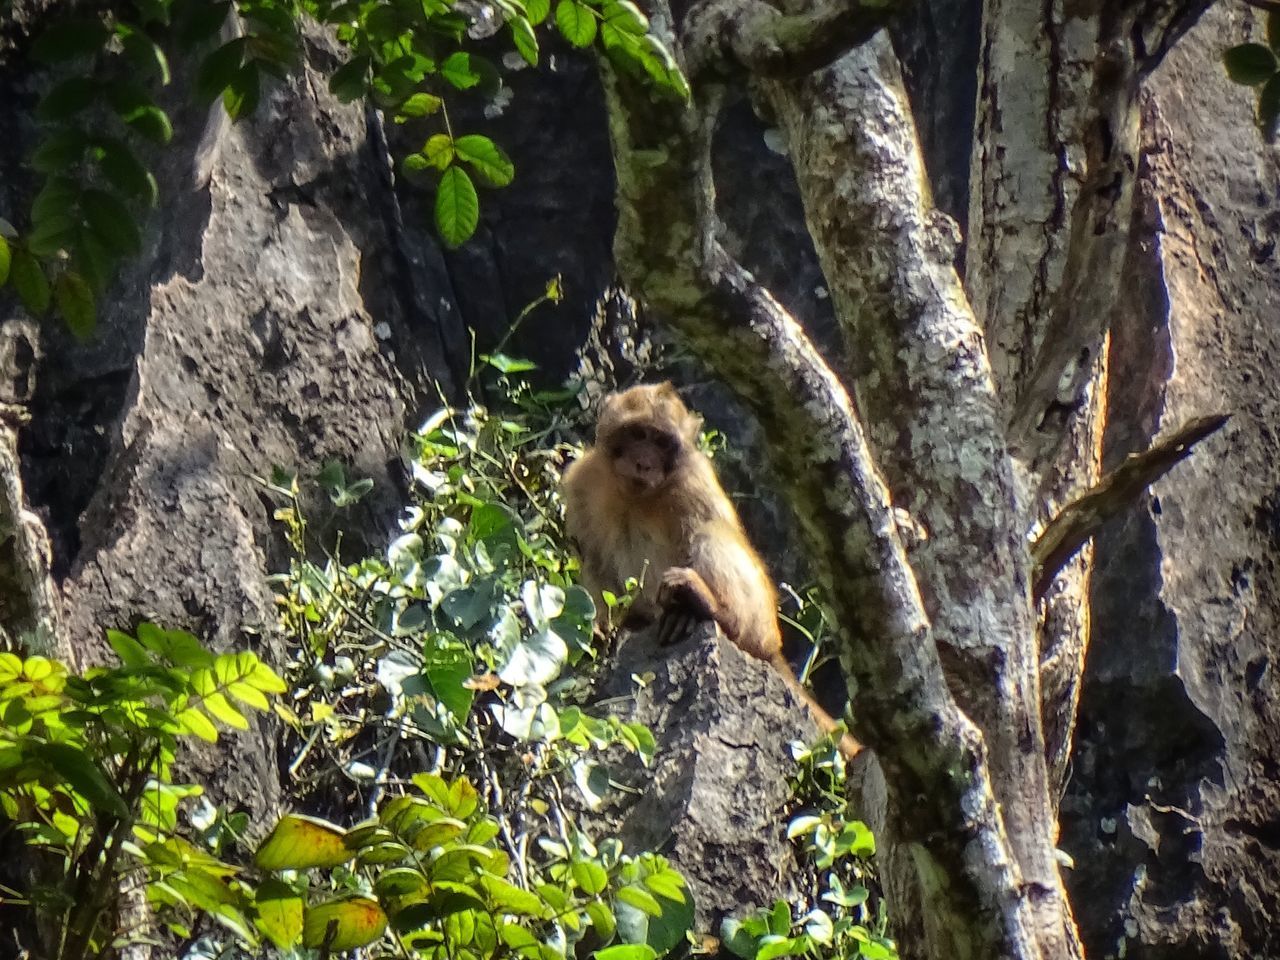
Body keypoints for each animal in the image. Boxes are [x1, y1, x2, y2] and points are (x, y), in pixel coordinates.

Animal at [560, 378, 860, 762]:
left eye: (661, 442)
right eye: (638, 433)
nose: (643, 463)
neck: (636, 496)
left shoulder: (695, 480)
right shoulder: (581, 482)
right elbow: (590, 558)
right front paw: (599, 631)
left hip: (761, 623)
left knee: (710, 534)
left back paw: (705, 606)